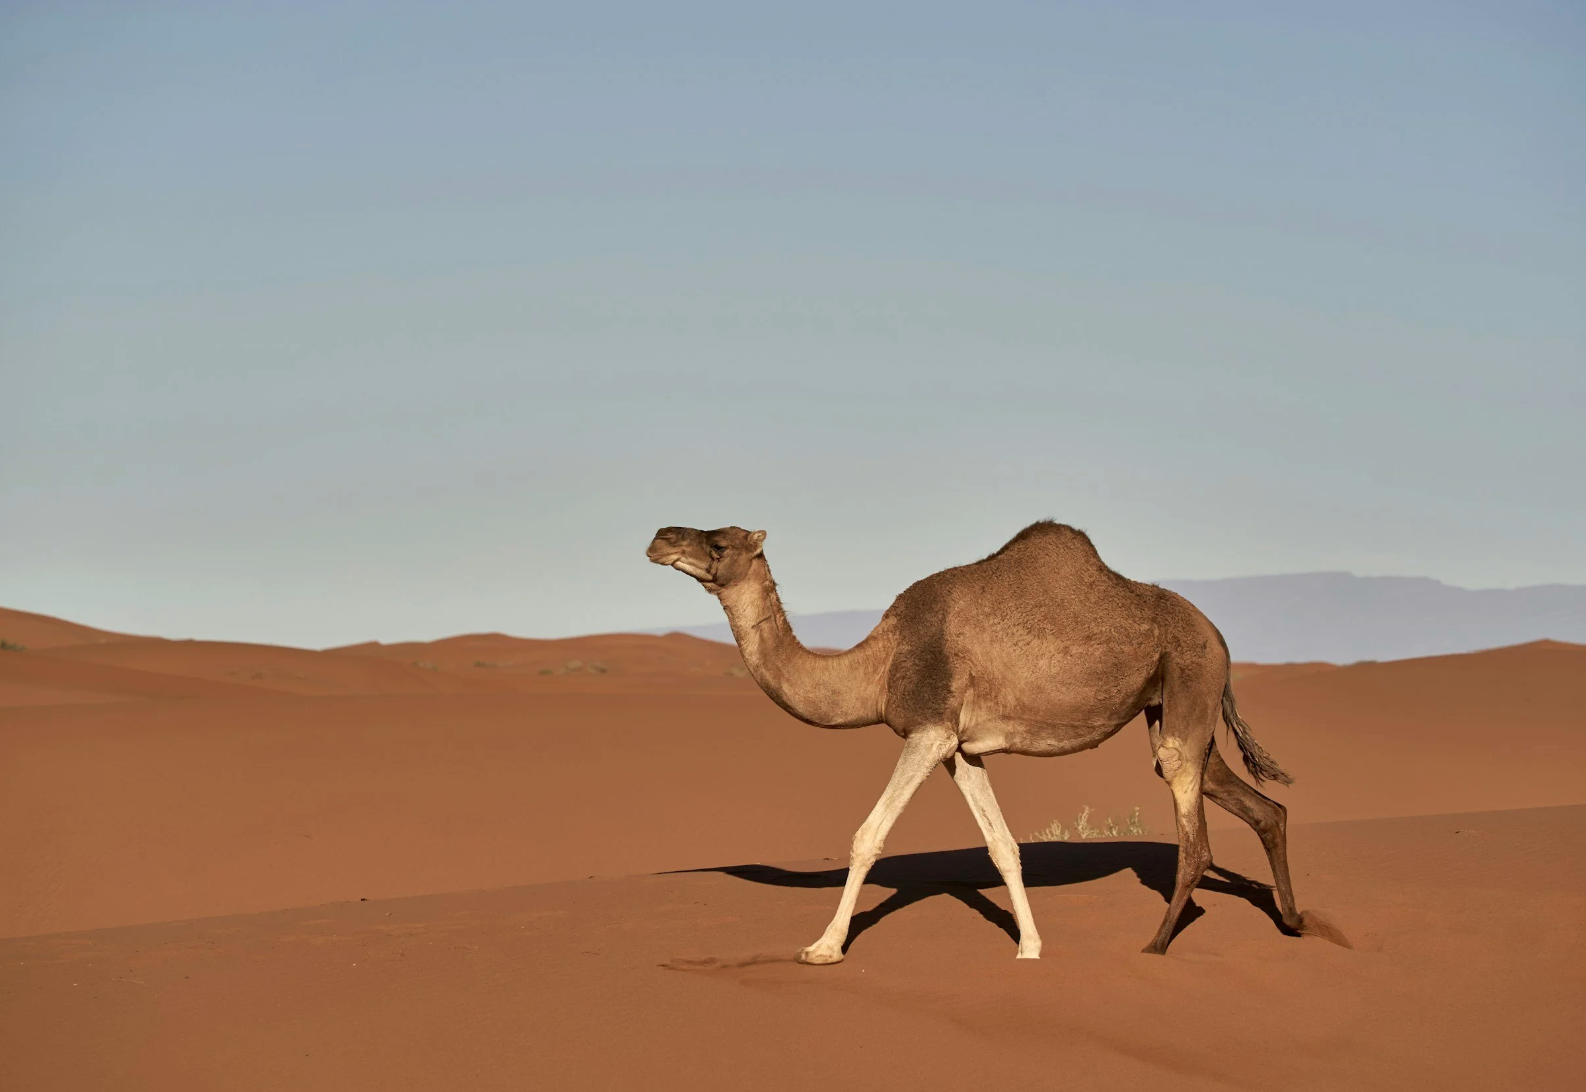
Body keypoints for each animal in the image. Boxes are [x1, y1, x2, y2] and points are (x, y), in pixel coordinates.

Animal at [647, 520, 1340, 962]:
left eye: (718, 541)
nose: (659, 537)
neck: (878, 665)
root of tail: (1218, 634)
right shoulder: (961, 747)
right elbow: (1003, 846)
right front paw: (1030, 948)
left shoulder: (927, 730)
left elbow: (868, 836)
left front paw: (822, 948)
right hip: (1174, 703)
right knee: (1262, 807)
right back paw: (1295, 922)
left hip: (1191, 679)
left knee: (1193, 834)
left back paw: (1156, 946)